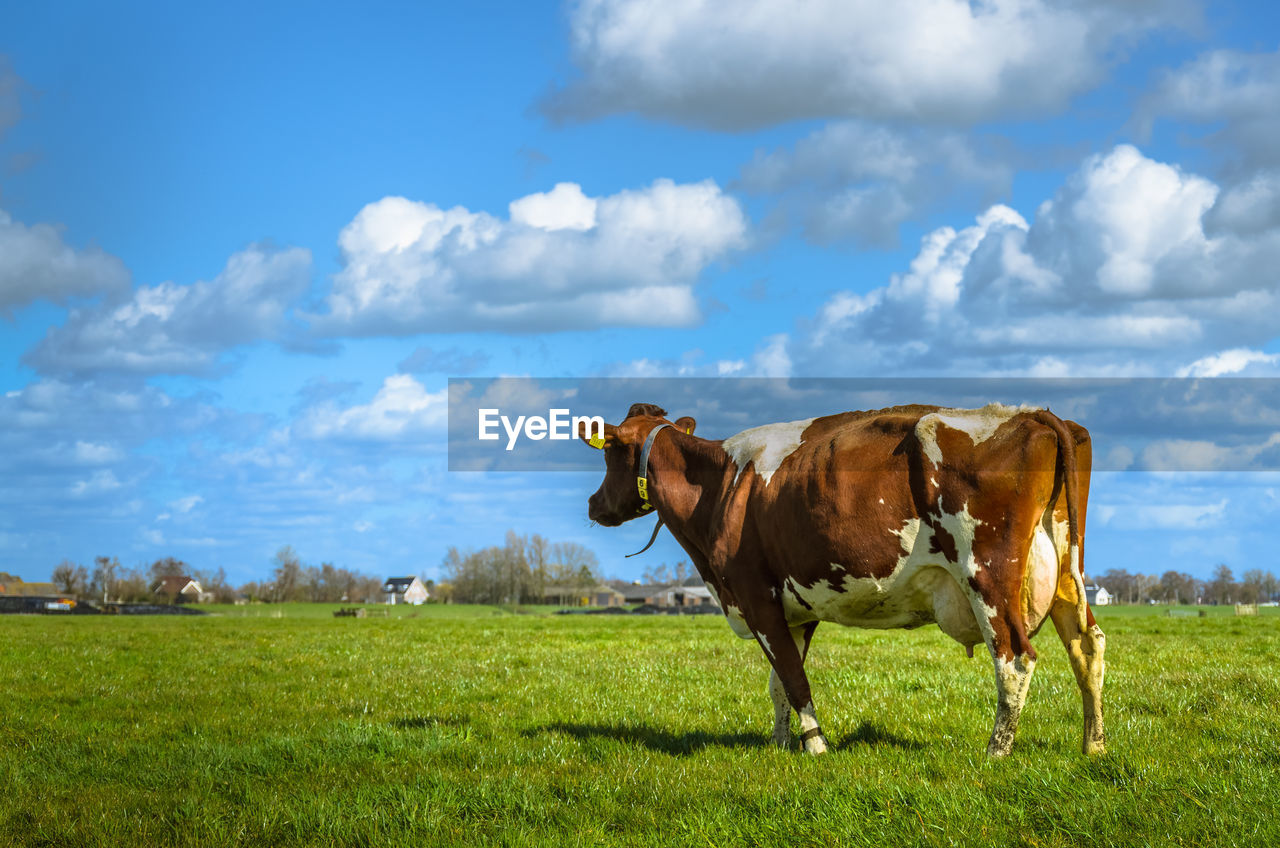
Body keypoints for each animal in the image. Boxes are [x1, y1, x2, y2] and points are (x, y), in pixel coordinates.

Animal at [586, 402, 1105, 758]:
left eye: (608, 453)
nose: (593, 504)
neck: (721, 485)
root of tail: (1030, 414)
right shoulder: (795, 608)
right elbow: (779, 682)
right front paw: (780, 745)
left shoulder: (755, 597)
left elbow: (794, 679)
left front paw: (816, 748)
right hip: (1066, 571)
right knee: (1087, 645)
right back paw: (1093, 745)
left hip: (989, 574)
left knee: (1014, 657)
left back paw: (997, 750)